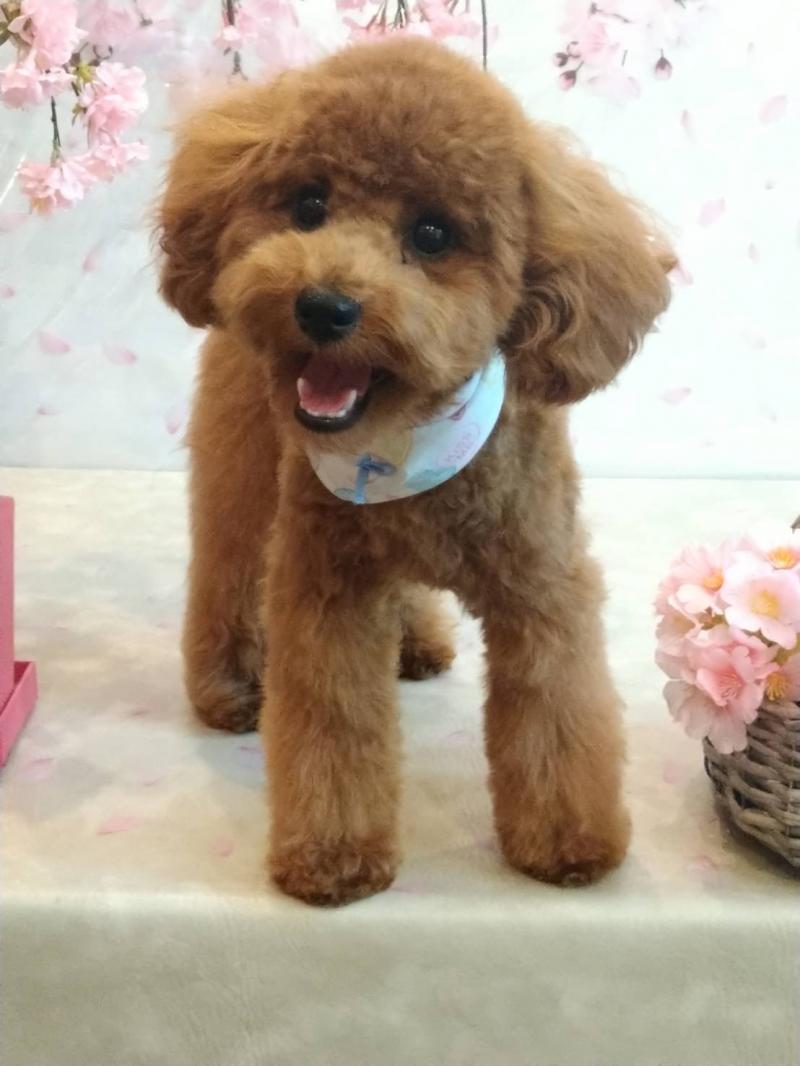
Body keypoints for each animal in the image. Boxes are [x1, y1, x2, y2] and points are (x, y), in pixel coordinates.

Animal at [158, 37, 673, 905]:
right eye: (307, 204)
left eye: (433, 234)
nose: (323, 306)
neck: (405, 446)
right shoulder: (325, 588)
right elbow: (333, 721)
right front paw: (333, 854)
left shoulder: (543, 588)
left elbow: (556, 712)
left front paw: (568, 842)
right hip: (242, 470)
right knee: (224, 567)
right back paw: (229, 688)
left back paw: (418, 641)